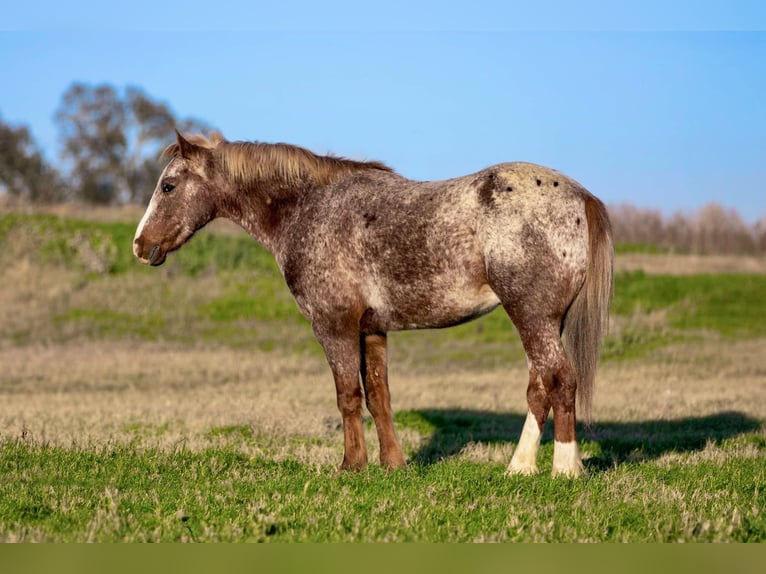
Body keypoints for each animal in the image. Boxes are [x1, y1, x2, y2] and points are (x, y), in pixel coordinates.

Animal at [134, 130, 613, 477]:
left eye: (168, 185)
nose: (140, 245)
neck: (310, 209)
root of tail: (579, 195)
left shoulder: (335, 327)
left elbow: (348, 395)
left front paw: (351, 465)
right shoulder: (372, 329)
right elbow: (378, 395)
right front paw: (393, 464)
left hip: (532, 318)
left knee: (559, 381)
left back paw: (564, 469)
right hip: (545, 321)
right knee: (539, 388)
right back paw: (520, 468)